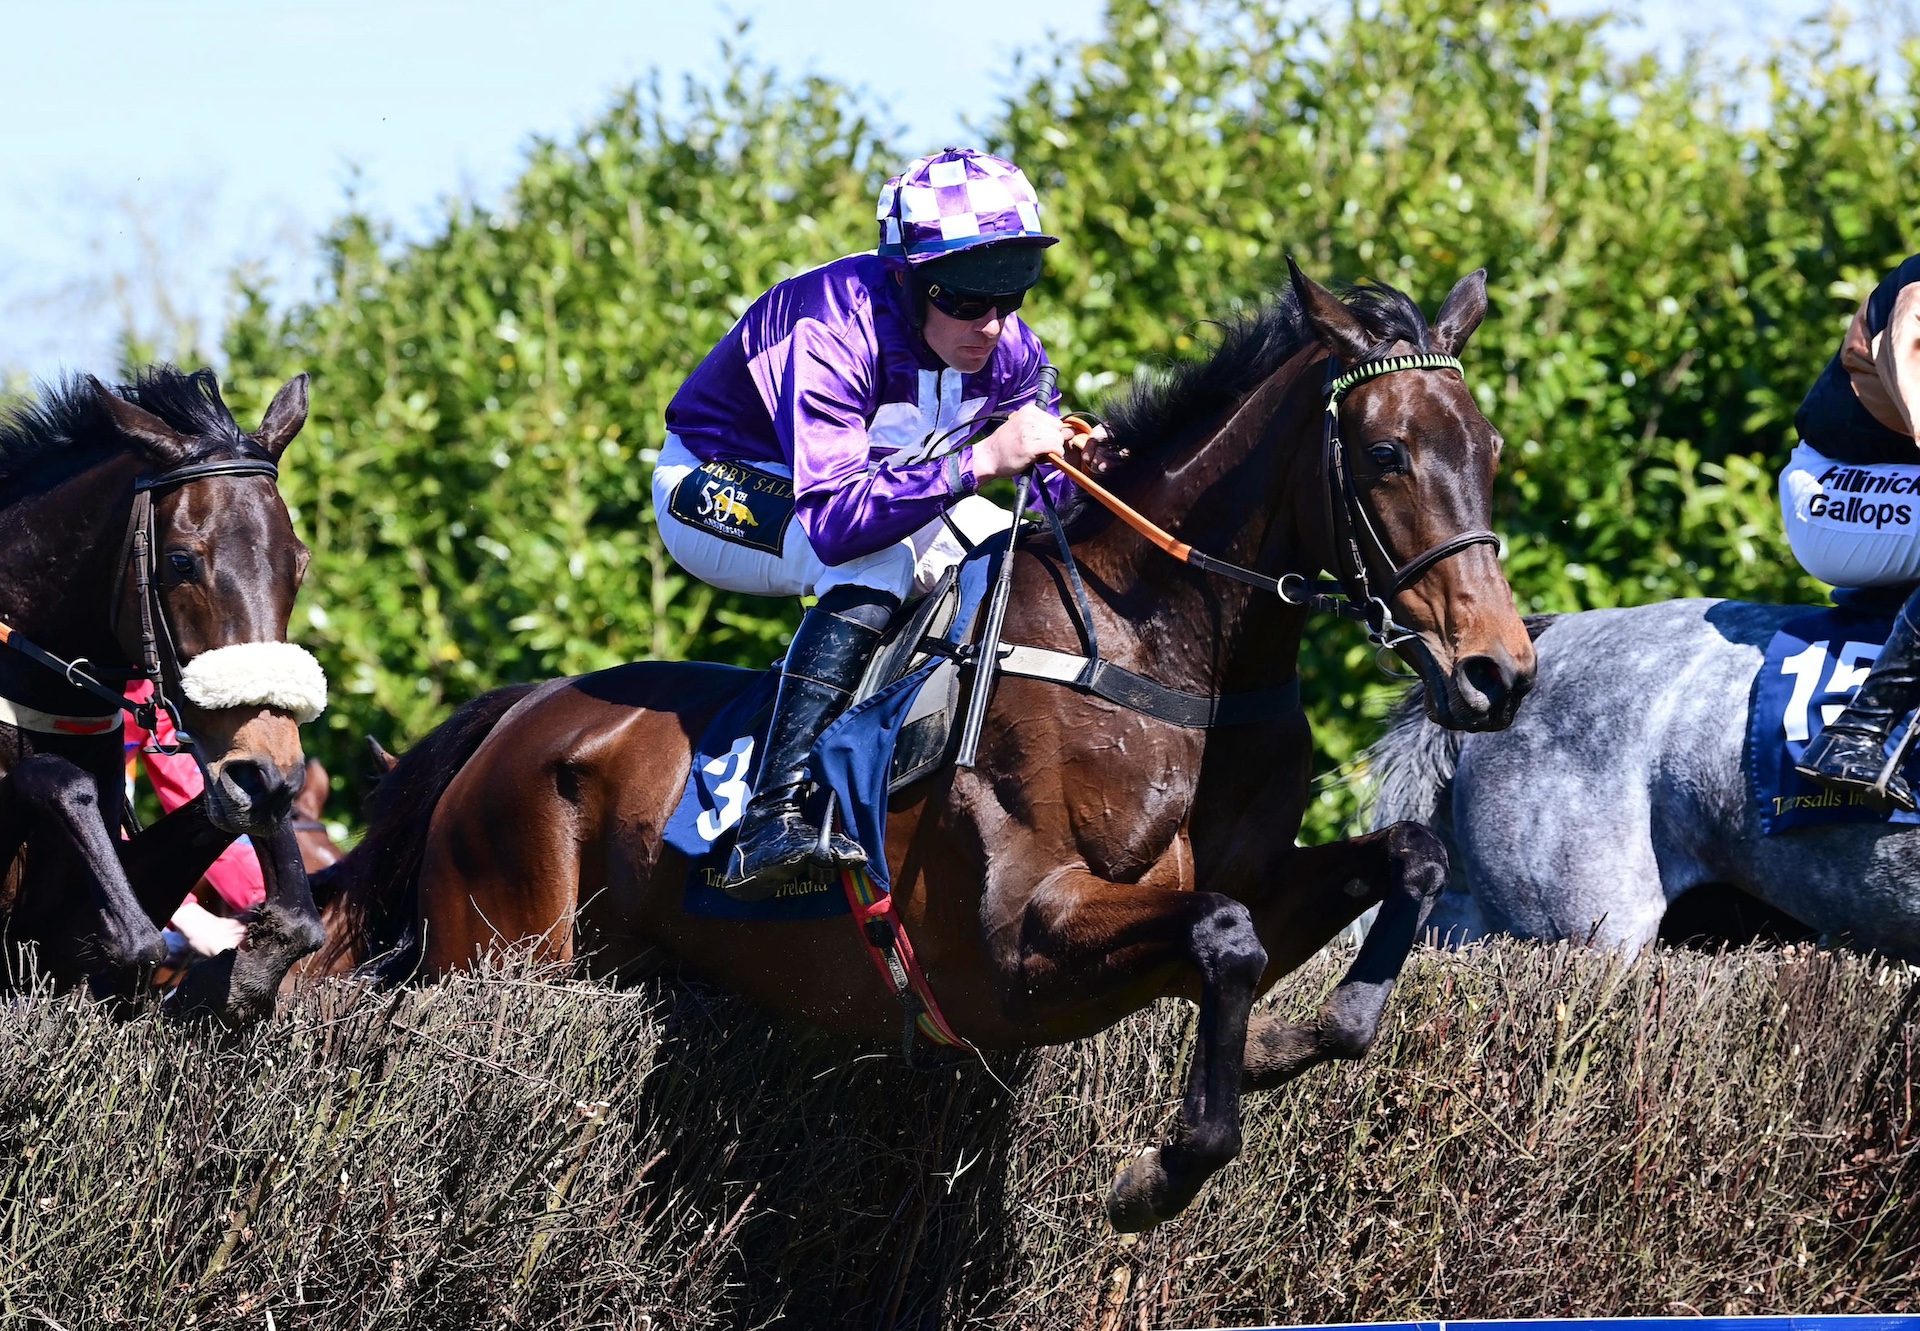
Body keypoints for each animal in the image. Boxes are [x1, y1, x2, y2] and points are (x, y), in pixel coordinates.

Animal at [322, 265, 1536, 1229]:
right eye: (1386, 451)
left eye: (1488, 449)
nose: (1499, 671)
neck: (1156, 654)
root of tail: (520, 714)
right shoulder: (1016, 948)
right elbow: (1226, 937)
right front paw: (1157, 1173)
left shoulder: (1253, 878)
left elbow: (1406, 863)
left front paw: (1298, 1035)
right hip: (498, 951)